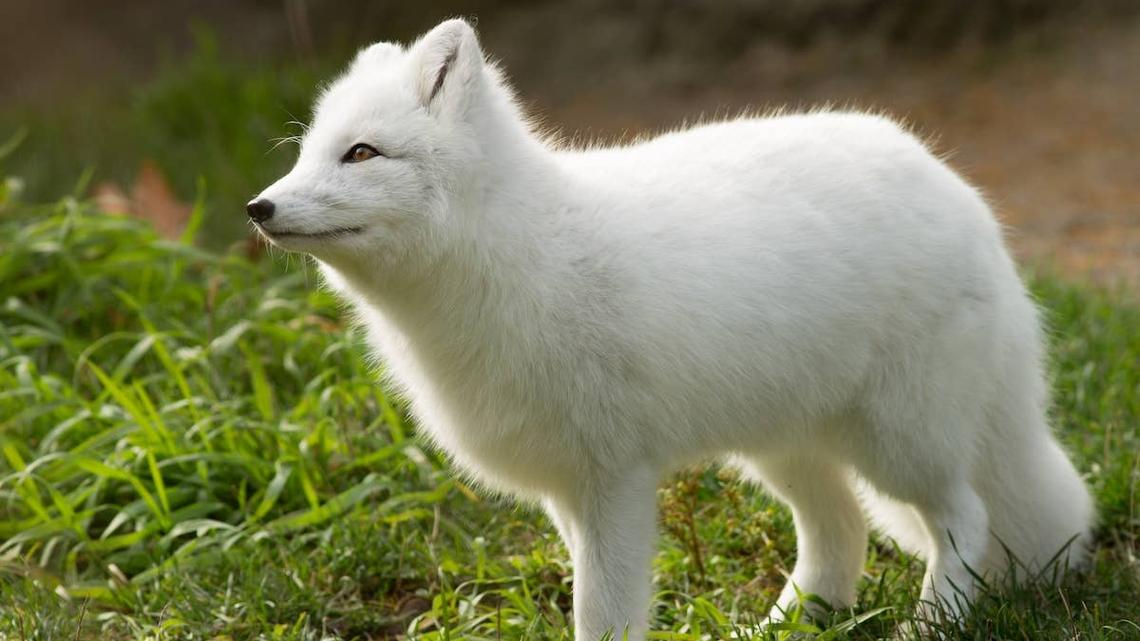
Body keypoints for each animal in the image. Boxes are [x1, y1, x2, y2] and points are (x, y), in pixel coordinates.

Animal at [248, 18, 1094, 640]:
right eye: (307, 153)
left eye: (361, 153)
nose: (259, 207)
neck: (520, 258)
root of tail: (959, 191)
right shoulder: (567, 489)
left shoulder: (613, 478)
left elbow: (605, 613)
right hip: (781, 447)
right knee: (843, 533)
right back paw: (784, 627)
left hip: (900, 441)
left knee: (964, 517)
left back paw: (931, 625)